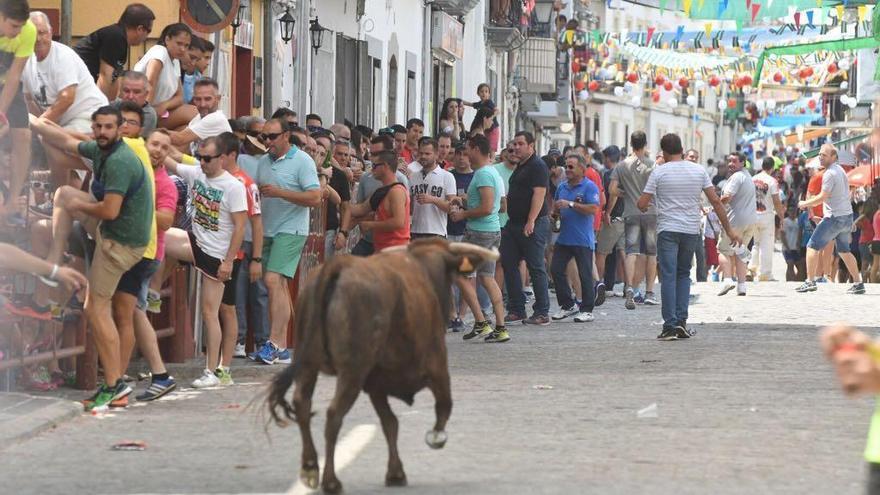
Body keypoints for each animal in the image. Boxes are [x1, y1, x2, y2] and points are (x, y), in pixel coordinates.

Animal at [268, 239, 498, 492]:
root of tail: (338, 266)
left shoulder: (375, 382)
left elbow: (390, 423)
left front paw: (395, 472)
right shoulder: (437, 365)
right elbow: (443, 406)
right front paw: (435, 438)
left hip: (309, 363)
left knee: (303, 404)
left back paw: (310, 468)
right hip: (352, 371)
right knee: (333, 414)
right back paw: (331, 481)